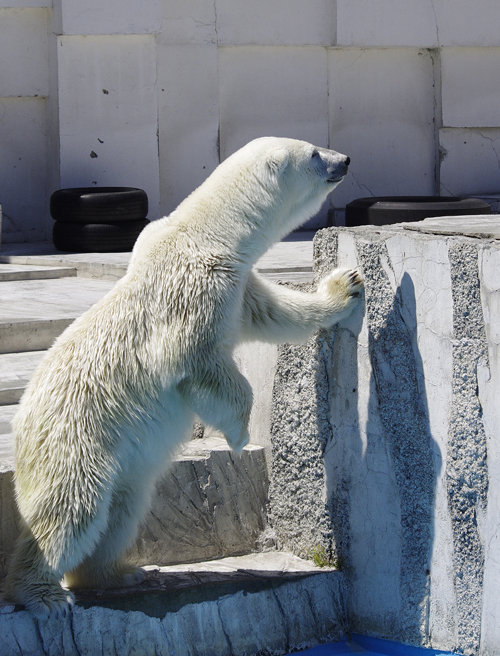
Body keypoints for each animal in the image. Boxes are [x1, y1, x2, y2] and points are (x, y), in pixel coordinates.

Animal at [3, 136, 364, 616]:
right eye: (312, 154)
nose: (345, 160)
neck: (206, 233)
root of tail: (22, 421)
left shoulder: (238, 287)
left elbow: (280, 314)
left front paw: (347, 286)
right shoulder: (194, 290)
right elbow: (198, 362)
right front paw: (238, 435)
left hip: (121, 463)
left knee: (123, 508)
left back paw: (119, 572)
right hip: (75, 439)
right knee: (72, 509)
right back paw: (42, 593)